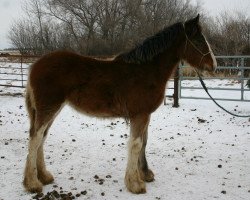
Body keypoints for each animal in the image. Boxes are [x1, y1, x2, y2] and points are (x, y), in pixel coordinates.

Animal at [22, 14, 216, 195]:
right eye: (199, 40)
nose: (213, 66)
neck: (145, 71)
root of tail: (35, 65)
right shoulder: (140, 114)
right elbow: (136, 144)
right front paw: (135, 184)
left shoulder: (145, 115)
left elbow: (144, 142)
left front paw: (145, 174)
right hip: (48, 108)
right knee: (36, 137)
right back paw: (33, 183)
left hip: (52, 109)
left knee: (42, 137)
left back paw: (44, 176)